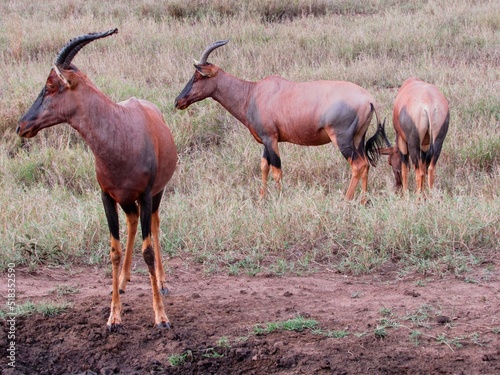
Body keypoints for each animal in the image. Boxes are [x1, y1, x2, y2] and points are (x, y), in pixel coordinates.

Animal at [17, 28, 178, 328]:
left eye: (50, 85)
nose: (22, 126)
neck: (121, 129)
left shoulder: (145, 195)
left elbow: (148, 251)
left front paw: (161, 316)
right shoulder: (106, 196)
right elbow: (113, 251)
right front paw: (113, 316)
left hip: (156, 194)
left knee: (154, 223)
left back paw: (162, 283)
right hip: (125, 200)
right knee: (132, 220)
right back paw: (124, 281)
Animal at [176, 40, 386, 203]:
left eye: (198, 76)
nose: (178, 101)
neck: (253, 93)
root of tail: (369, 99)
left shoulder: (271, 138)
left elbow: (276, 169)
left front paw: (278, 198)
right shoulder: (266, 139)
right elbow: (264, 166)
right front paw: (262, 199)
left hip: (342, 139)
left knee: (357, 165)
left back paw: (346, 201)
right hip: (358, 138)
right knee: (366, 164)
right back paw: (363, 200)